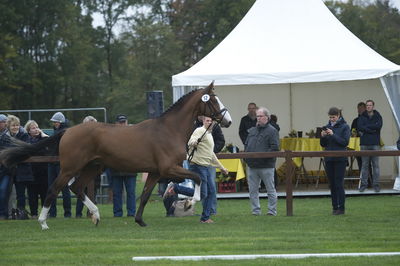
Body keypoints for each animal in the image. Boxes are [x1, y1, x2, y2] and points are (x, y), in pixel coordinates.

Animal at [0, 82, 231, 229]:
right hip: (70, 168)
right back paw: (43, 223)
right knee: (54, 189)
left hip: (93, 167)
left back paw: (95, 216)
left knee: (77, 187)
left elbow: (145, 195)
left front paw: (139, 220)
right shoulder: (169, 169)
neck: (169, 129)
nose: (227, 120)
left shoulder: (155, 172)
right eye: (213, 100)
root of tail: (67, 131)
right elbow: (198, 177)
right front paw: (191, 203)